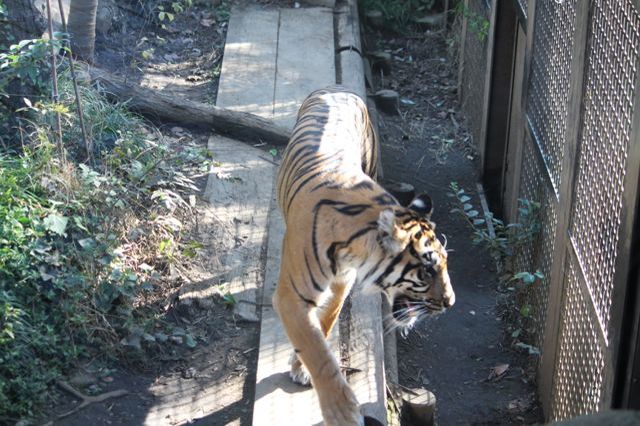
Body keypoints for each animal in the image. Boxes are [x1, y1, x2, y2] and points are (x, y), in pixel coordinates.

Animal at [272, 86, 456, 426]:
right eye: (427, 272)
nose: (451, 302)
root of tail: (336, 88)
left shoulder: (343, 280)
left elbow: (326, 320)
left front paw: (301, 367)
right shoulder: (292, 296)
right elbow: (316, 349)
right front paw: (342, 413)